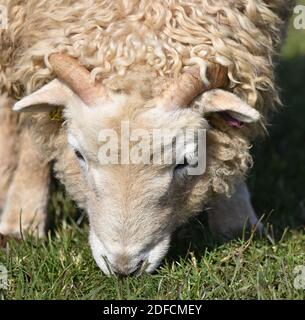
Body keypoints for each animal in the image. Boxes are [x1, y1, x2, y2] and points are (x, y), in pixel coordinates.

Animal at [0, 0, 294, 276]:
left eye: (185, 162)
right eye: (78, 155)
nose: (124, 268)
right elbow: (33, 142)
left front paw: (238, 222)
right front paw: (22, 223)